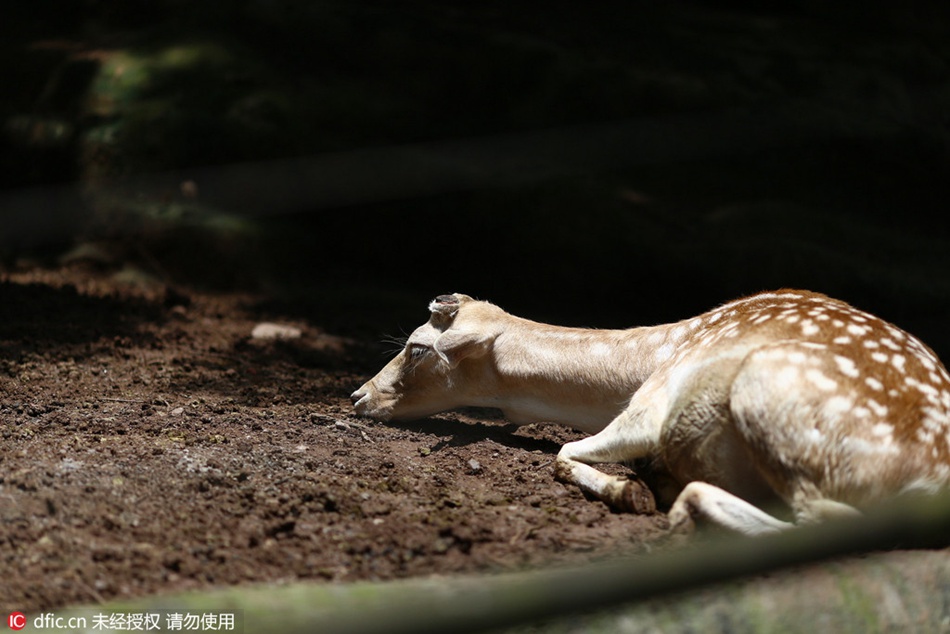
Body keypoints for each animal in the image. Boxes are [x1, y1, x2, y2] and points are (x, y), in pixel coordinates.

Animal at [350, 292, 950, 532]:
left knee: (824, 516)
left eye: (415, 348)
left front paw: (631, 490)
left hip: (764, 387)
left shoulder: (652, 407)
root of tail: (926, 479)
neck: (648, 360)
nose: (357, 396)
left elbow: (563, 449)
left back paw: (680, 505)